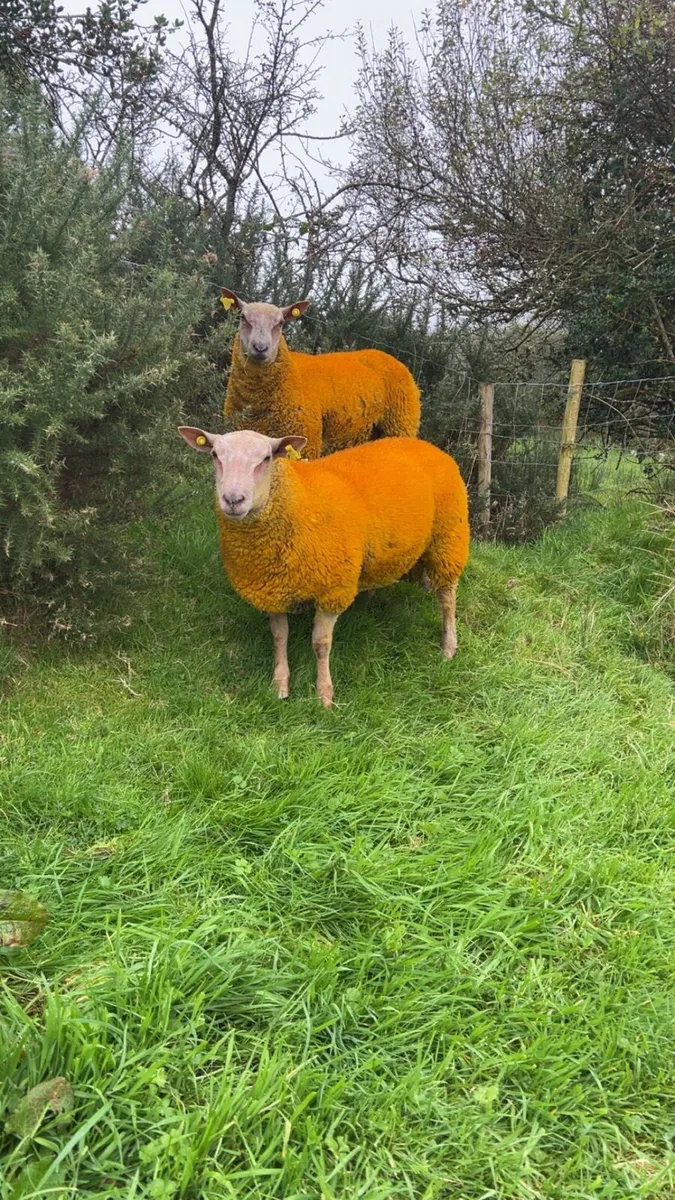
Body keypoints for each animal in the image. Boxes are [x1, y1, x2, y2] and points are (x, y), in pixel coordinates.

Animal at [178, 426, 470, 708]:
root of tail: (426, 445)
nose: (233, 499)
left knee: (447, 598)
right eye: (215, 455)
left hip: (448, 537)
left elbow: (321, 644)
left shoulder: (333, 589)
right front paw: (280, 685)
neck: (297, 501)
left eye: (267, 458)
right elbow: (279, 636)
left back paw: (448, 647)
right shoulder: (271, 589)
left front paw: (324, 695)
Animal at [220, 289, 421, 459]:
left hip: (401, 425)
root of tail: (387, 356)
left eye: (280, 323)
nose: (260, 348)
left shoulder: (305, 442)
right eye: (243, 317)